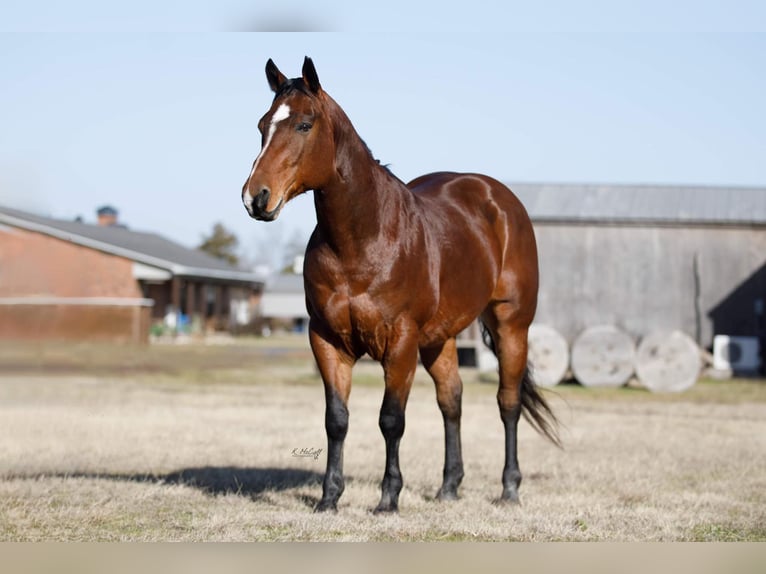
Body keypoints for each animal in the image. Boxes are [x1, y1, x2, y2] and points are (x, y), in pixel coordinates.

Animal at [243, 58, 560, 516]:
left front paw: (388, 498)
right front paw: (329, 498)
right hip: (439, 339)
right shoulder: (326, 339)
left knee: (508, 402)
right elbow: (336, 420)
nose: (255, 198)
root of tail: (496, 197)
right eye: (262, 125)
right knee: (451, 399)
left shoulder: (400, 341)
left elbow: (391, 419)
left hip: (511, 325)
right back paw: (449, 487)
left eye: (304, 124)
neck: (362, 240)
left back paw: (509, 489)